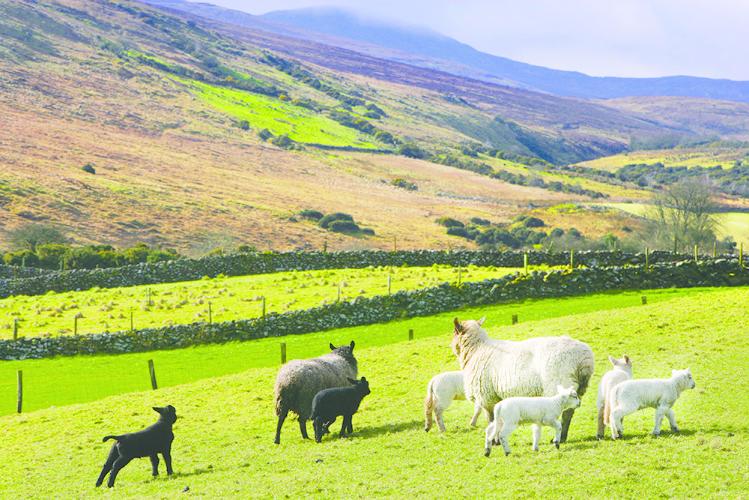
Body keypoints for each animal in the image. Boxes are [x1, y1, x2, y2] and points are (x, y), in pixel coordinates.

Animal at [452, 317, 594, 443]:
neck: (476, 349)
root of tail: (584, 359)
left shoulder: (486, 397)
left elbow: (492, 420)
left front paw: (493, 441)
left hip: (559, 383)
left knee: (566, 413)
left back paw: (559, 438)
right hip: (578, 388)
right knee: (570, 412)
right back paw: (563, 437)